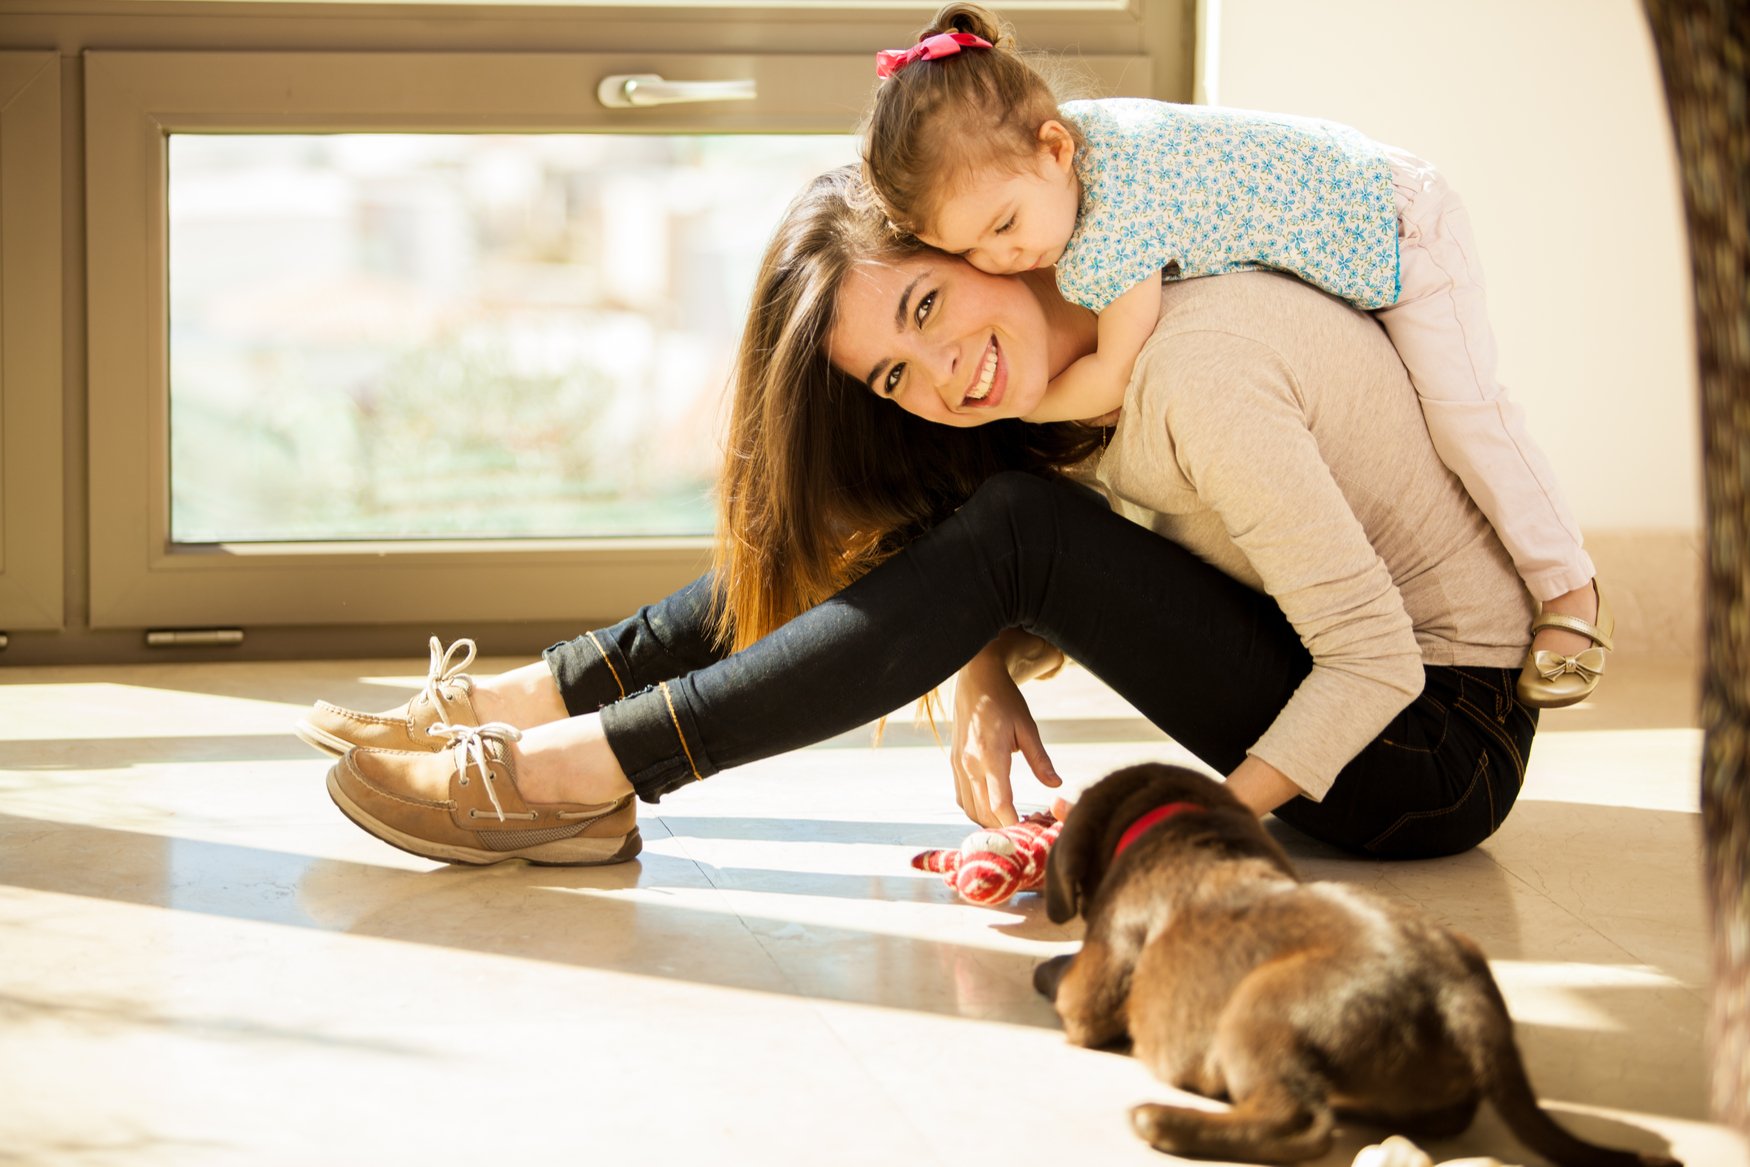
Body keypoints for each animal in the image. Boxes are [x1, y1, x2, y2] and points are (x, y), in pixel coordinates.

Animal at [1036, 766, 1680, 1167]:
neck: (1182, 822)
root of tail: (1460, 996)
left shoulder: (1091, 992)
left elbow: (1063, 978)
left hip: (1257, 1009)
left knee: (1302, 1124)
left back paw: (1163, 1122)